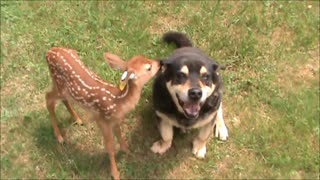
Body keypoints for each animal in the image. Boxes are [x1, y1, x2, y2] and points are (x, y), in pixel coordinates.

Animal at [45, 47, 160, 179]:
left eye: (146, 57)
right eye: (149, 67)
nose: (160, 62)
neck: (119, 102)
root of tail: (49, 51)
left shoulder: (115, 120)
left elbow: (119, 135)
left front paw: (127, 150)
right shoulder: (102, 119)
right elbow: (110, 146)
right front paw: (115, 173)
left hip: (64, 89)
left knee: (61, 99)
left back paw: (78, 119)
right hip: (59, 86)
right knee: (48, 98)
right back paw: (59, 137)